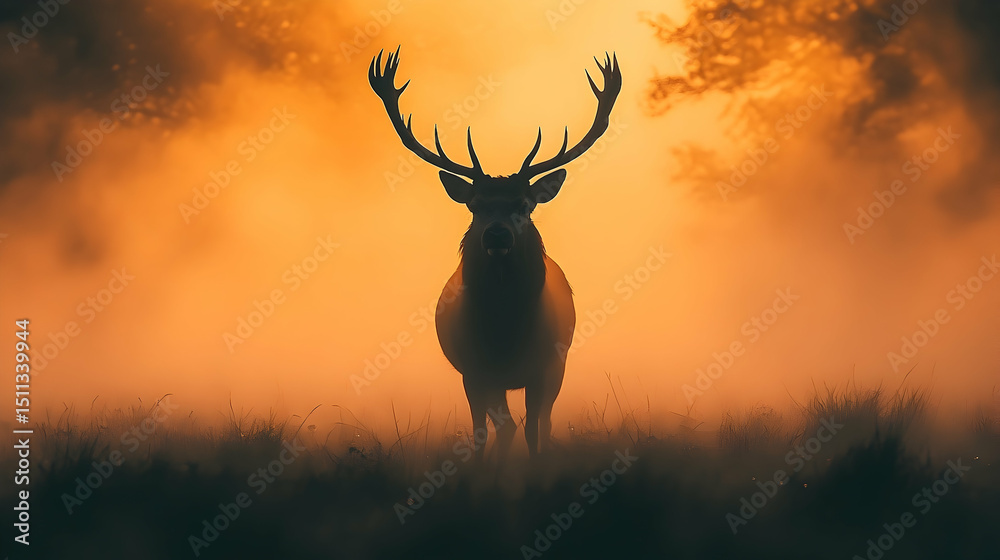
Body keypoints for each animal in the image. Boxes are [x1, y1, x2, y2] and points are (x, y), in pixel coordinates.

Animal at [369, 47, 622, 462]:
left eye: (524, 205)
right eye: (475, 206)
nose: (497, 234)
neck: (505, 330)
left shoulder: (545, 366)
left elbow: (534, 431)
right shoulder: (474, 370)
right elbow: (483, 433)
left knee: (540, 423)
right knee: (505, 426)